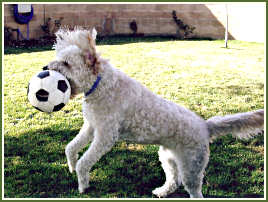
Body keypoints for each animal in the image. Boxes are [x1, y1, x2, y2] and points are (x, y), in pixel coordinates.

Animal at [44, 27, 264, 198]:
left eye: (66, 63)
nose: (45, 67)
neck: (101, 85)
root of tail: (205, 126)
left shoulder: (105, 136)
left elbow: (85, 162)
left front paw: (82, 184)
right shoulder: (91, 126)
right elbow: (70, 148)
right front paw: (71, 166)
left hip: (192, 168)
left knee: (194, 190)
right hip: (168, 158)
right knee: (173, 180)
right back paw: (161, 191)